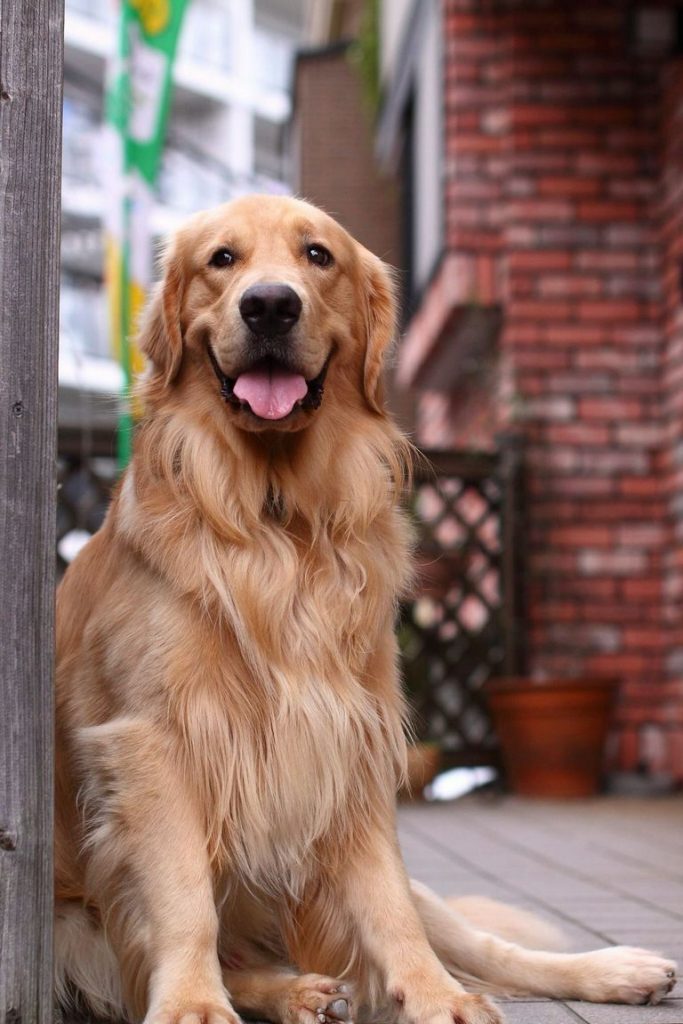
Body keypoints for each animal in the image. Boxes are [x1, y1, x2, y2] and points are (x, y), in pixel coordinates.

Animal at [57, 193, 679, 1024]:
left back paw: (612, 969)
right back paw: (294, 990)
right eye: (221, 259)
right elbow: (185, 903)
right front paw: (191, 1002)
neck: (278, 517)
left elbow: (388, 907)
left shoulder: (351, 736)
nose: (270, 304)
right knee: (219, 951)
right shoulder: (151, 740)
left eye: (317, 256)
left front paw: (434, 996)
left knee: (478, 940)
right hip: (69, 924)